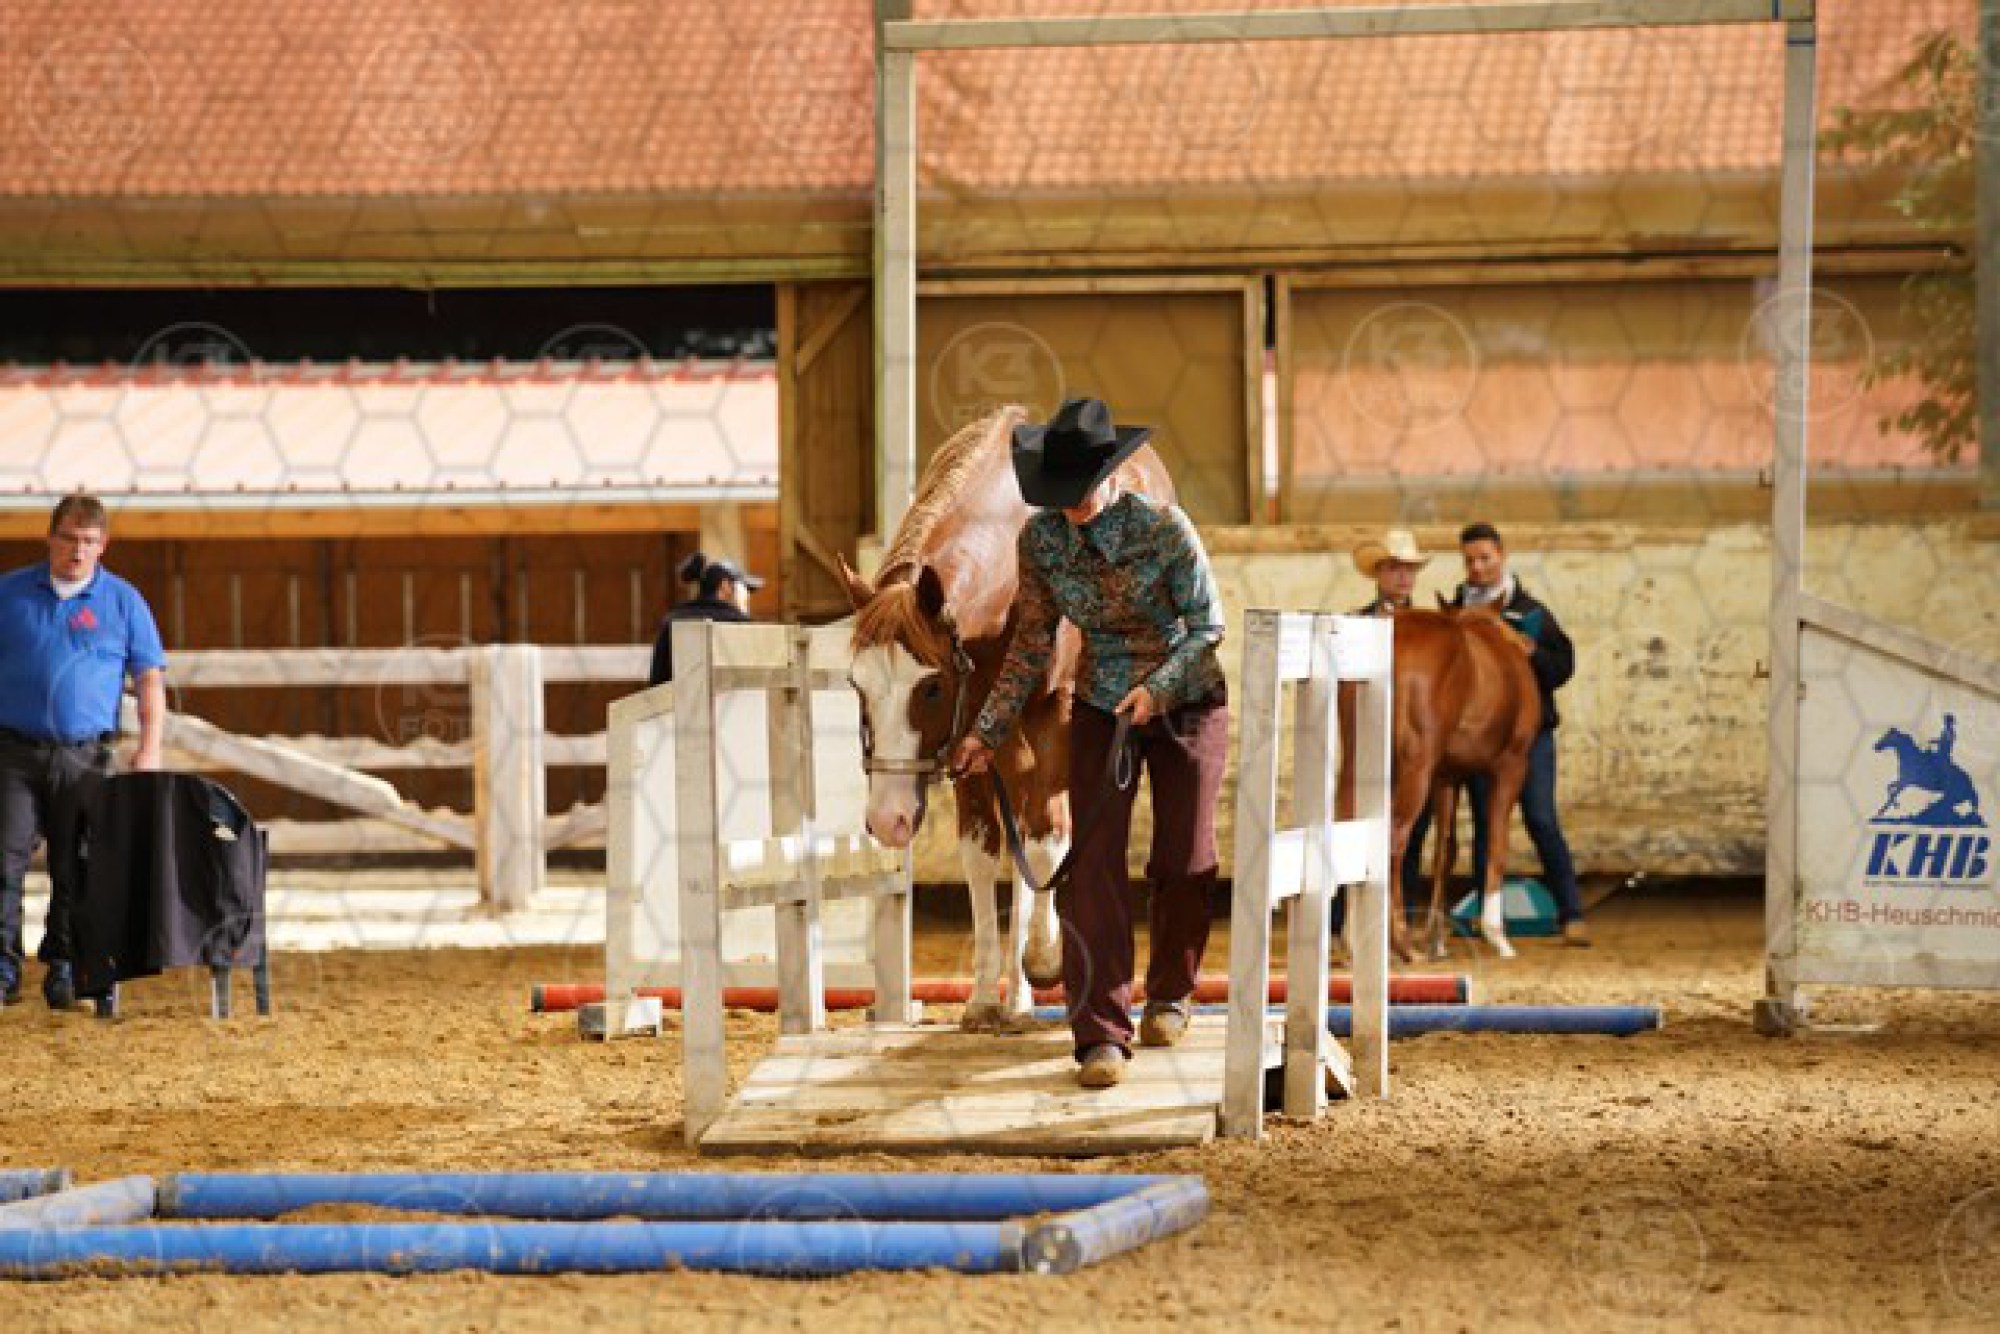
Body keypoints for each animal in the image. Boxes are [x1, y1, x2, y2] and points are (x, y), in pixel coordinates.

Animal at [1371, 606, 1543, 962]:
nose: (1529, 645)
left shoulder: (1447, 776)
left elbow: (1444, 851)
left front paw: (1436, 940)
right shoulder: (1511, 766)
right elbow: (1496, 845)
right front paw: (1497, 934)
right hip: (1414, 768)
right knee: (1395, 836)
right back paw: (1401, 942)